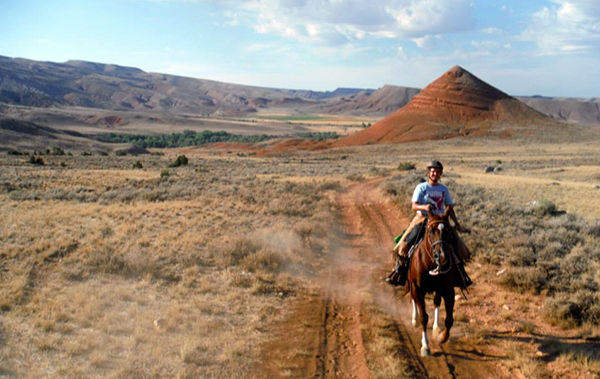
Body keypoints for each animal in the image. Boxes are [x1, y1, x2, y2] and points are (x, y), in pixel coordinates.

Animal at [408, 212, 460, 358]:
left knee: (437, 302)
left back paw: (436, 327)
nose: (441, 257)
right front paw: (425, 346)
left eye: (448, 231)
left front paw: (441, 337)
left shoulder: (448, 290)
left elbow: (449, 319)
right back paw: (414, 319)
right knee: (413, 298)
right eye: (431, 230)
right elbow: (424, 318)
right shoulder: (418, 289)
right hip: (412, 284)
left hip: (438, 289)